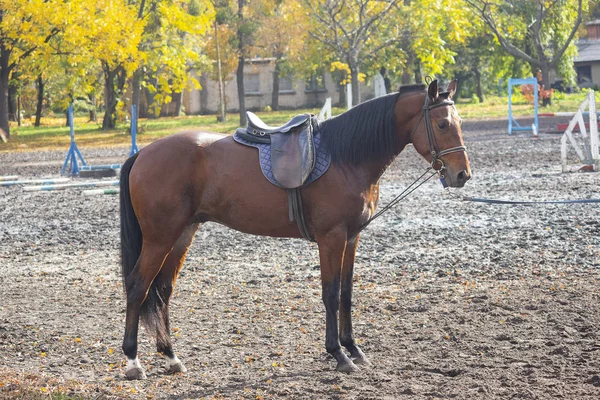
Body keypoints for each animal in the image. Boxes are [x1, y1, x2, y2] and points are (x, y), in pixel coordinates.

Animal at [119, 78, 472, 378]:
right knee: (138, 287)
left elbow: (346, 293)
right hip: (160, 237)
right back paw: (133, 361)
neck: (346, 157)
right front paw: (338, 354)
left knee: (163, 290)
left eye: (459, 124)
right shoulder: (332, 237)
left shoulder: (352, 238)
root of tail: (143, 153)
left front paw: (354, 349)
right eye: (442, 124)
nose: (462, 175)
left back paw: (171, 356)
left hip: (182, 234)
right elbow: (330, 293)